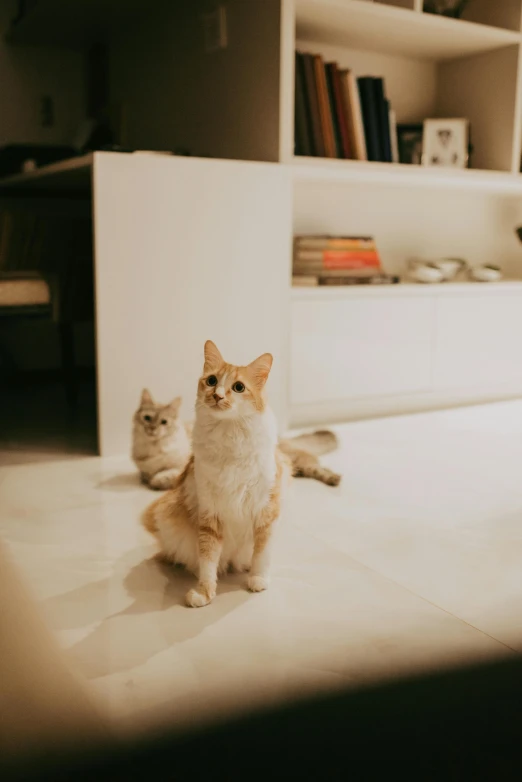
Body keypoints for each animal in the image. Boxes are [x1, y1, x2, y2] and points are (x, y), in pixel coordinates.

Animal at [132, 390, 340, 494]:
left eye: (164, 422)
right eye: (147, 418)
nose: (152, 430)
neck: (153, 450)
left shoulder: (181, 465)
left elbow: (165, 475)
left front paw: (159, 480)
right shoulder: (143, 470)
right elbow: (146, 476)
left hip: (297, 461)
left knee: (317, 466)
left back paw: (334, 478)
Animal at [140, 340, 290, 608]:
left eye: (239, 387)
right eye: (211, 381)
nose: (217, 395)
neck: (229, 435)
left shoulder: (266, 510)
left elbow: (262, 553)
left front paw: (258, 580)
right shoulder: (210, 513)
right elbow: (208, 559)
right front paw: (204, 592)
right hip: (167, 512)